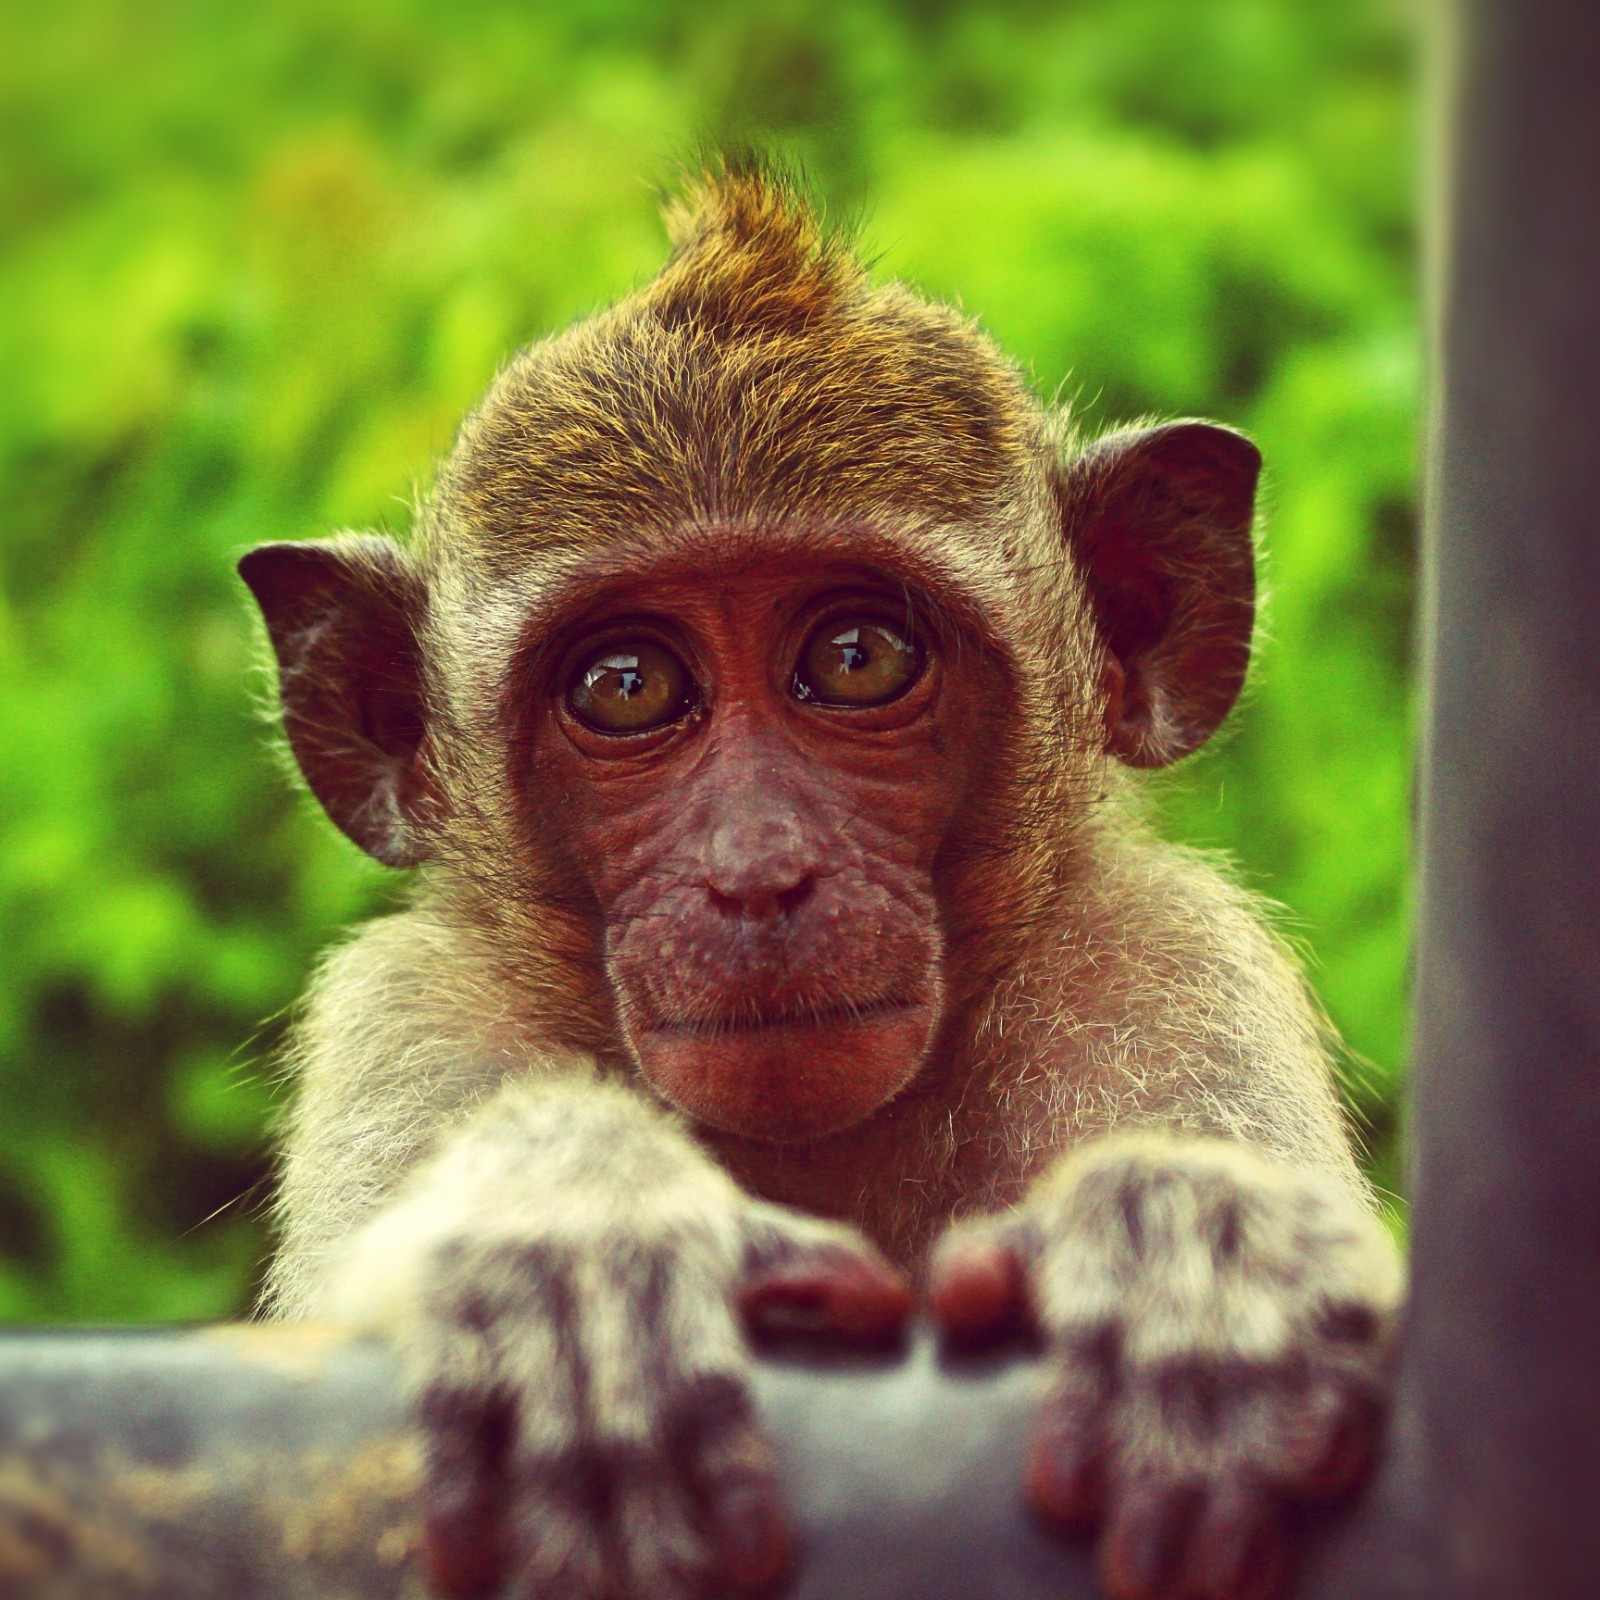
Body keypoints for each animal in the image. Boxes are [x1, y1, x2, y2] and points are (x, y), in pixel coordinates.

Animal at [240, 163, 1402, 1600]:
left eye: (857, 657)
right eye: (627, 686)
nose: (756, 874)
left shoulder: (1165, 961)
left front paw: (1187, 1236)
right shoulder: (411, 1017)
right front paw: (574, 1242)